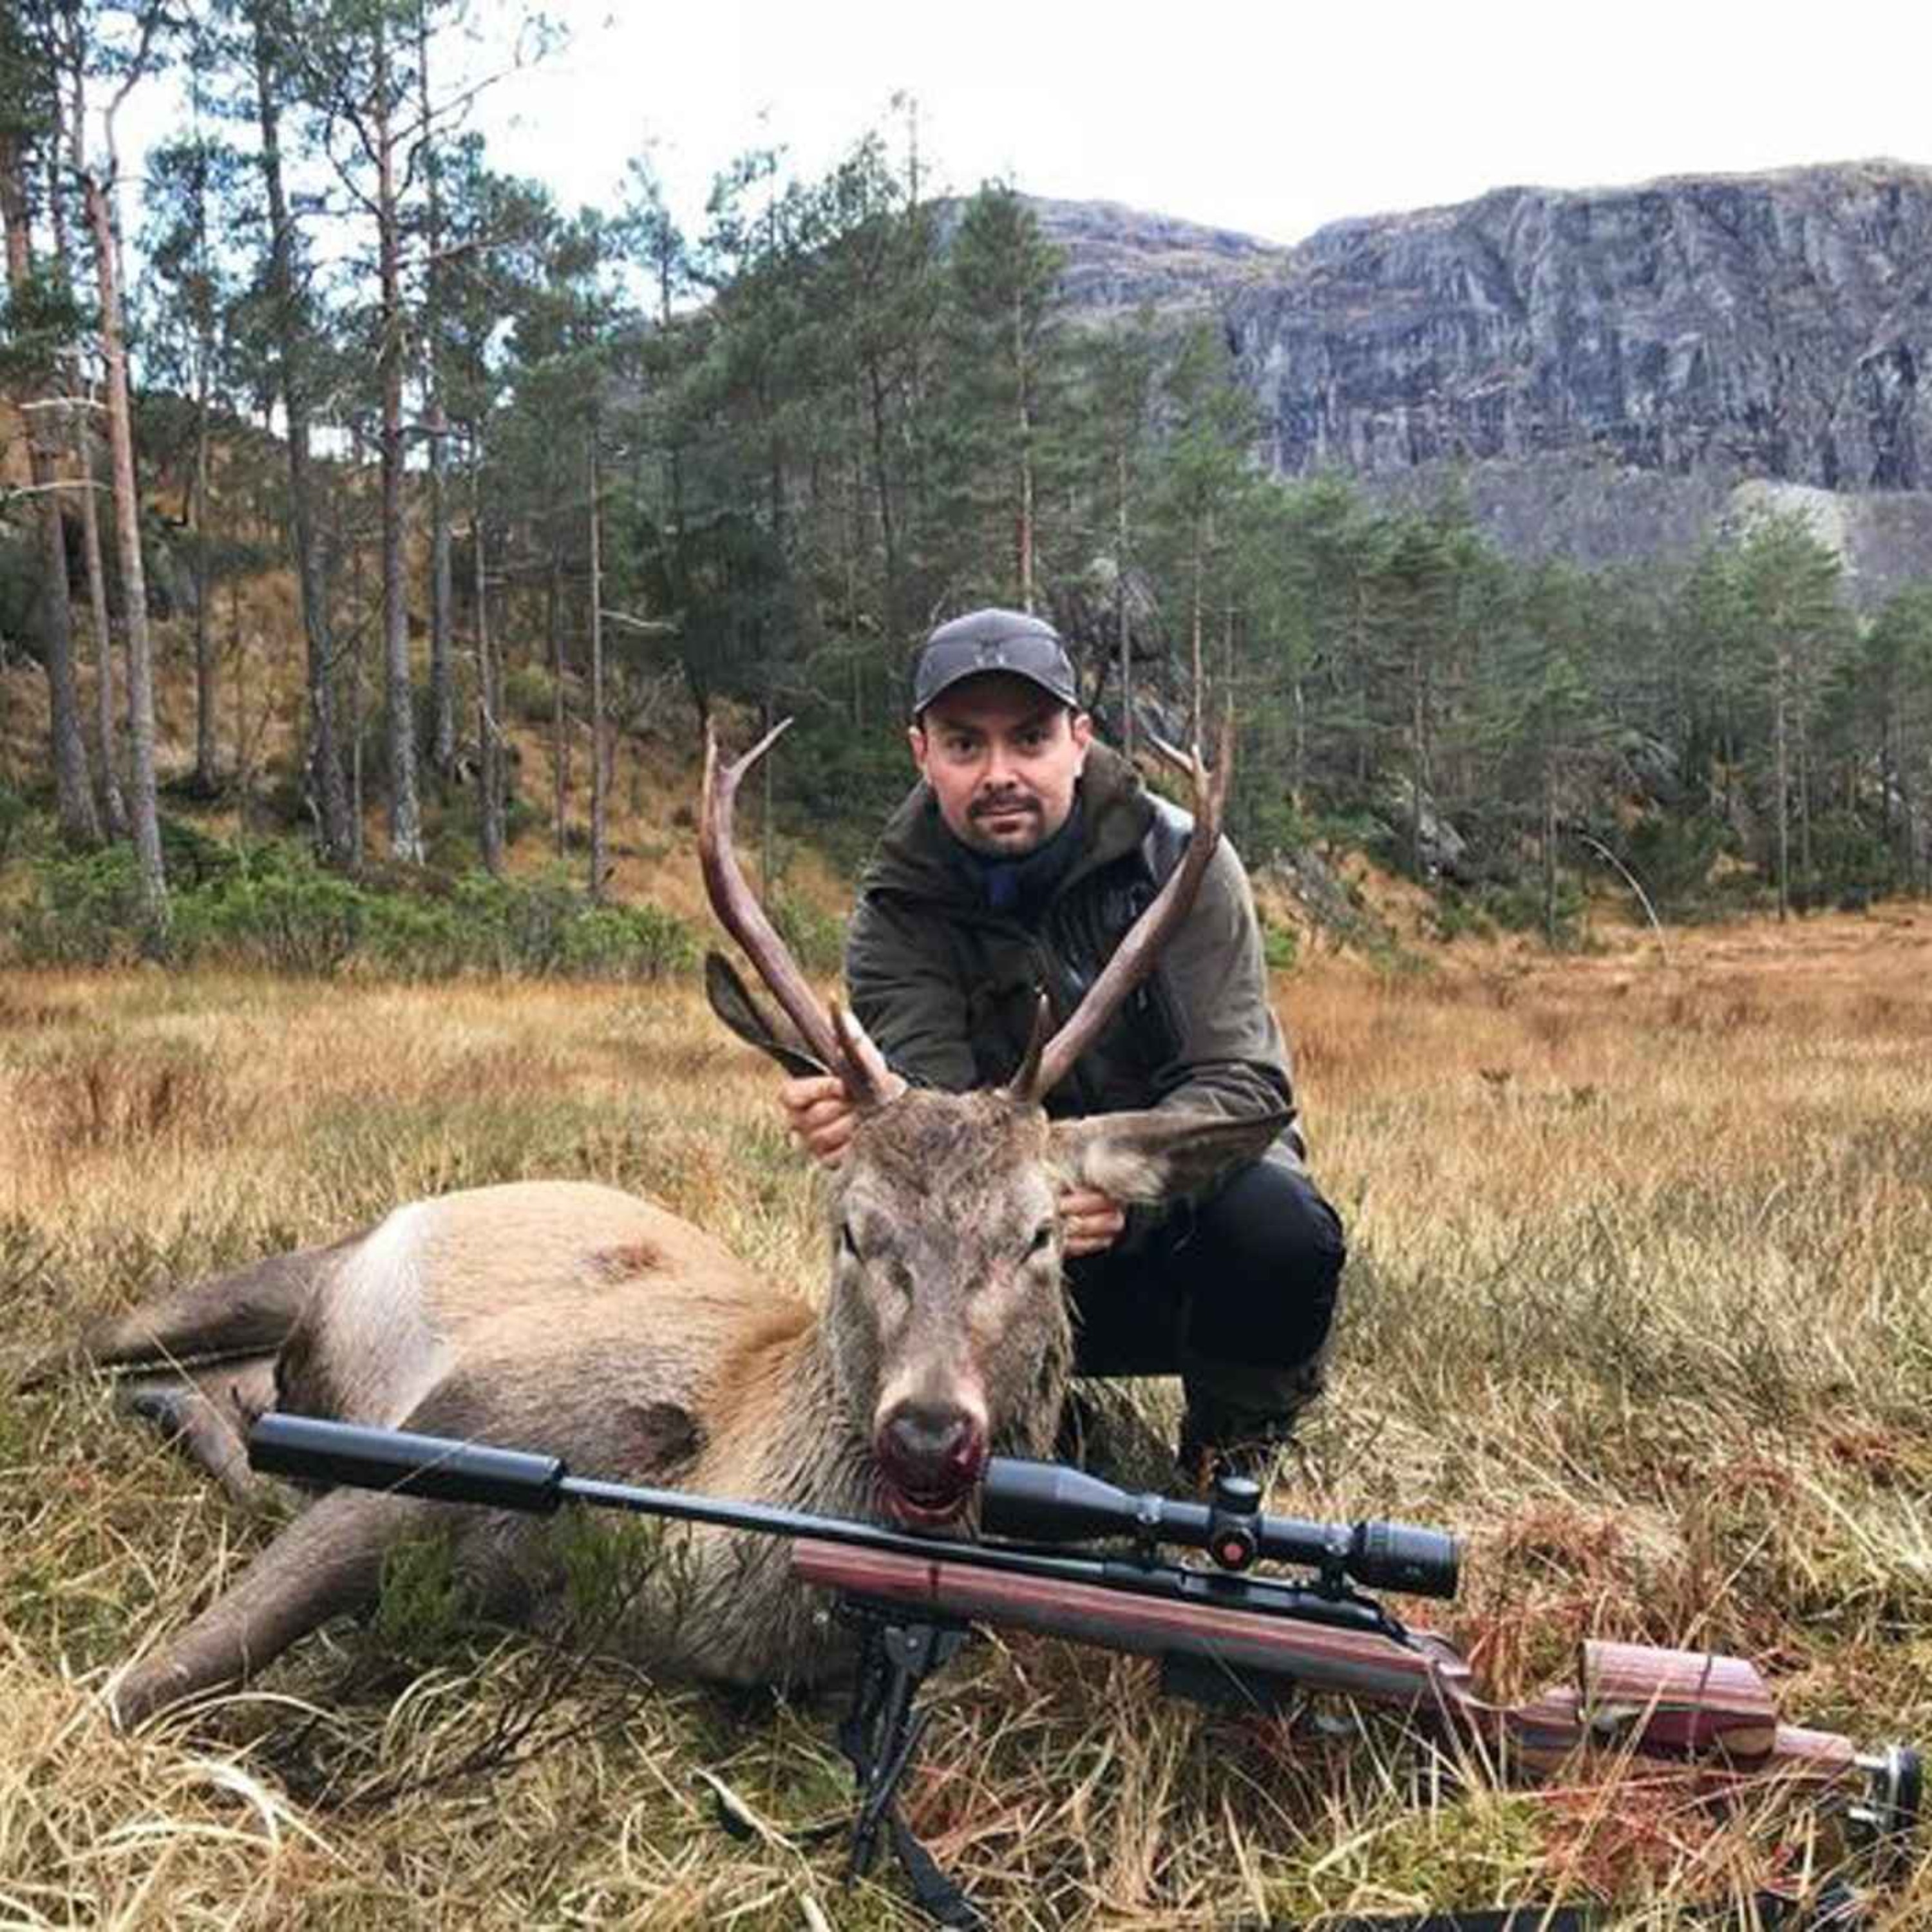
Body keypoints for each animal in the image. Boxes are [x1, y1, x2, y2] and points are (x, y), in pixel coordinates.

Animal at [37, 723, 1275, 1723]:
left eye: (1039, 1235)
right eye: (851, 1226)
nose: (931, 1432)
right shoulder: (470, 1423)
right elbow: (156, 1681)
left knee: (215, 1403)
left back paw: (178, 1413)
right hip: (285, 1272)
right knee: (78, 1348)